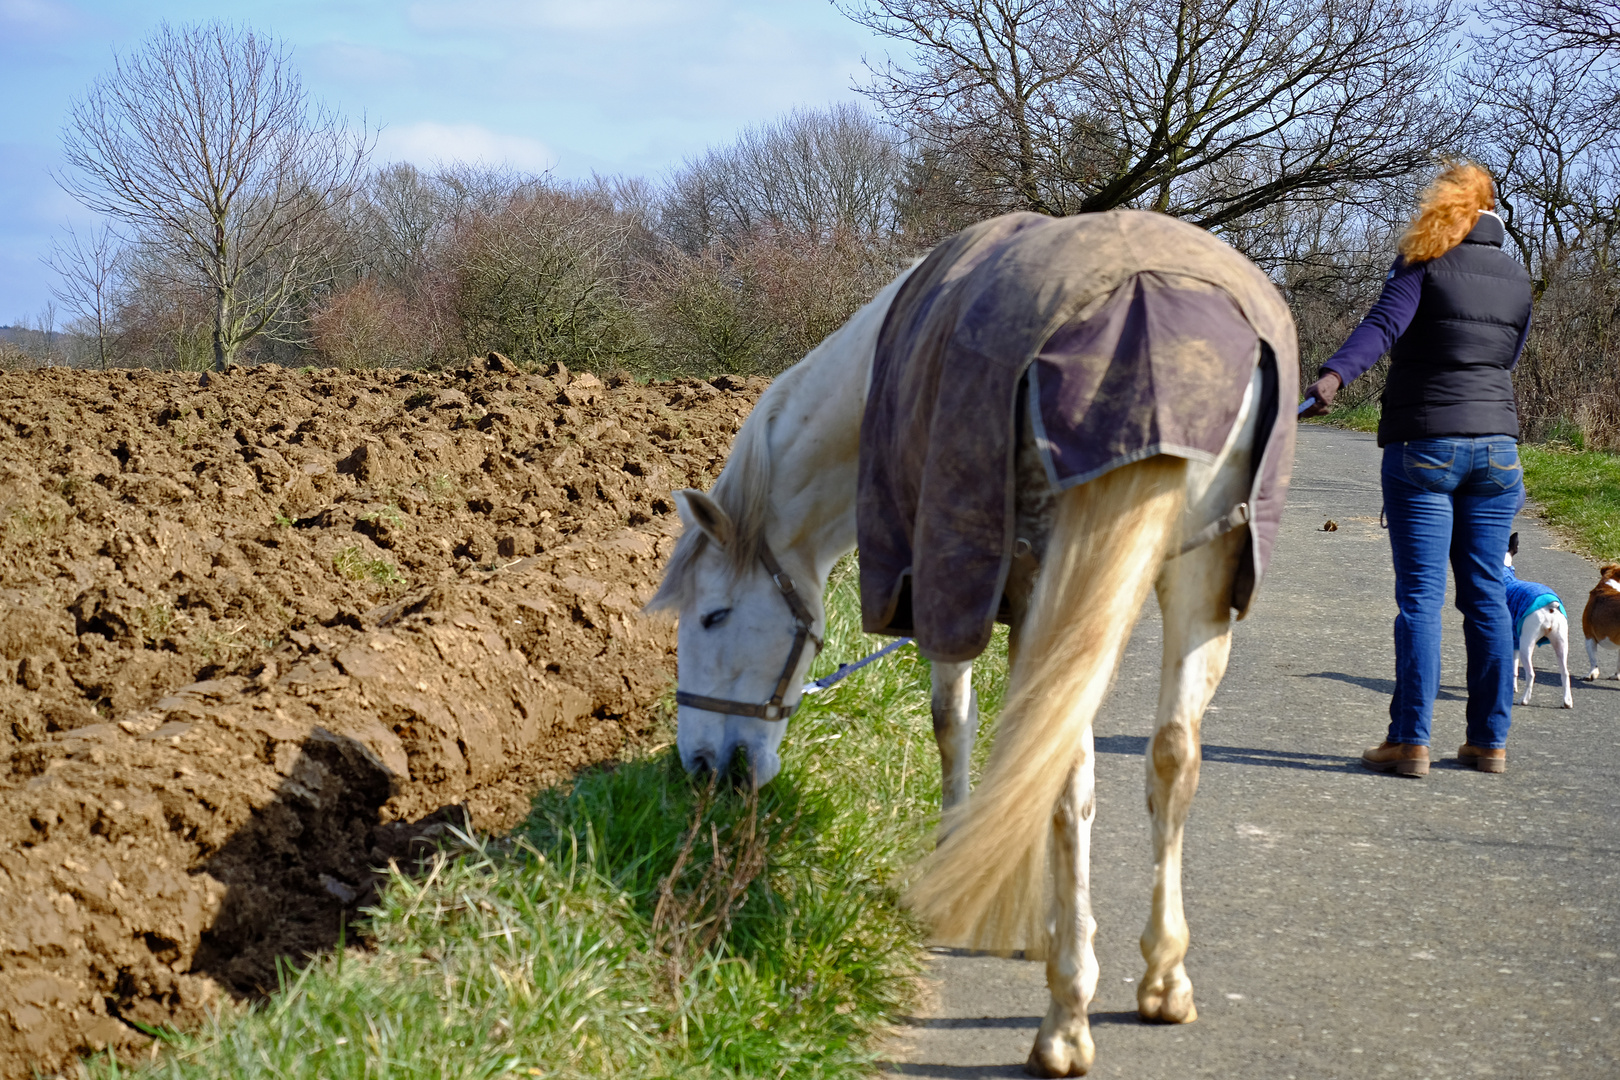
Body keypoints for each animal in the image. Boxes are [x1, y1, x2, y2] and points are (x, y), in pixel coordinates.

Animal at [644, 234, 1289, 1075]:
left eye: (713, 615)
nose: (702, 768)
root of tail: (1150, 331)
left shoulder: (946, 580)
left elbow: (953, 721)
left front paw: (962, 878)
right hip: (1204, 569)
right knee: (1171, 756)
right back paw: (1162, 977)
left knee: (1068, 773)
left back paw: (1065, 1020)